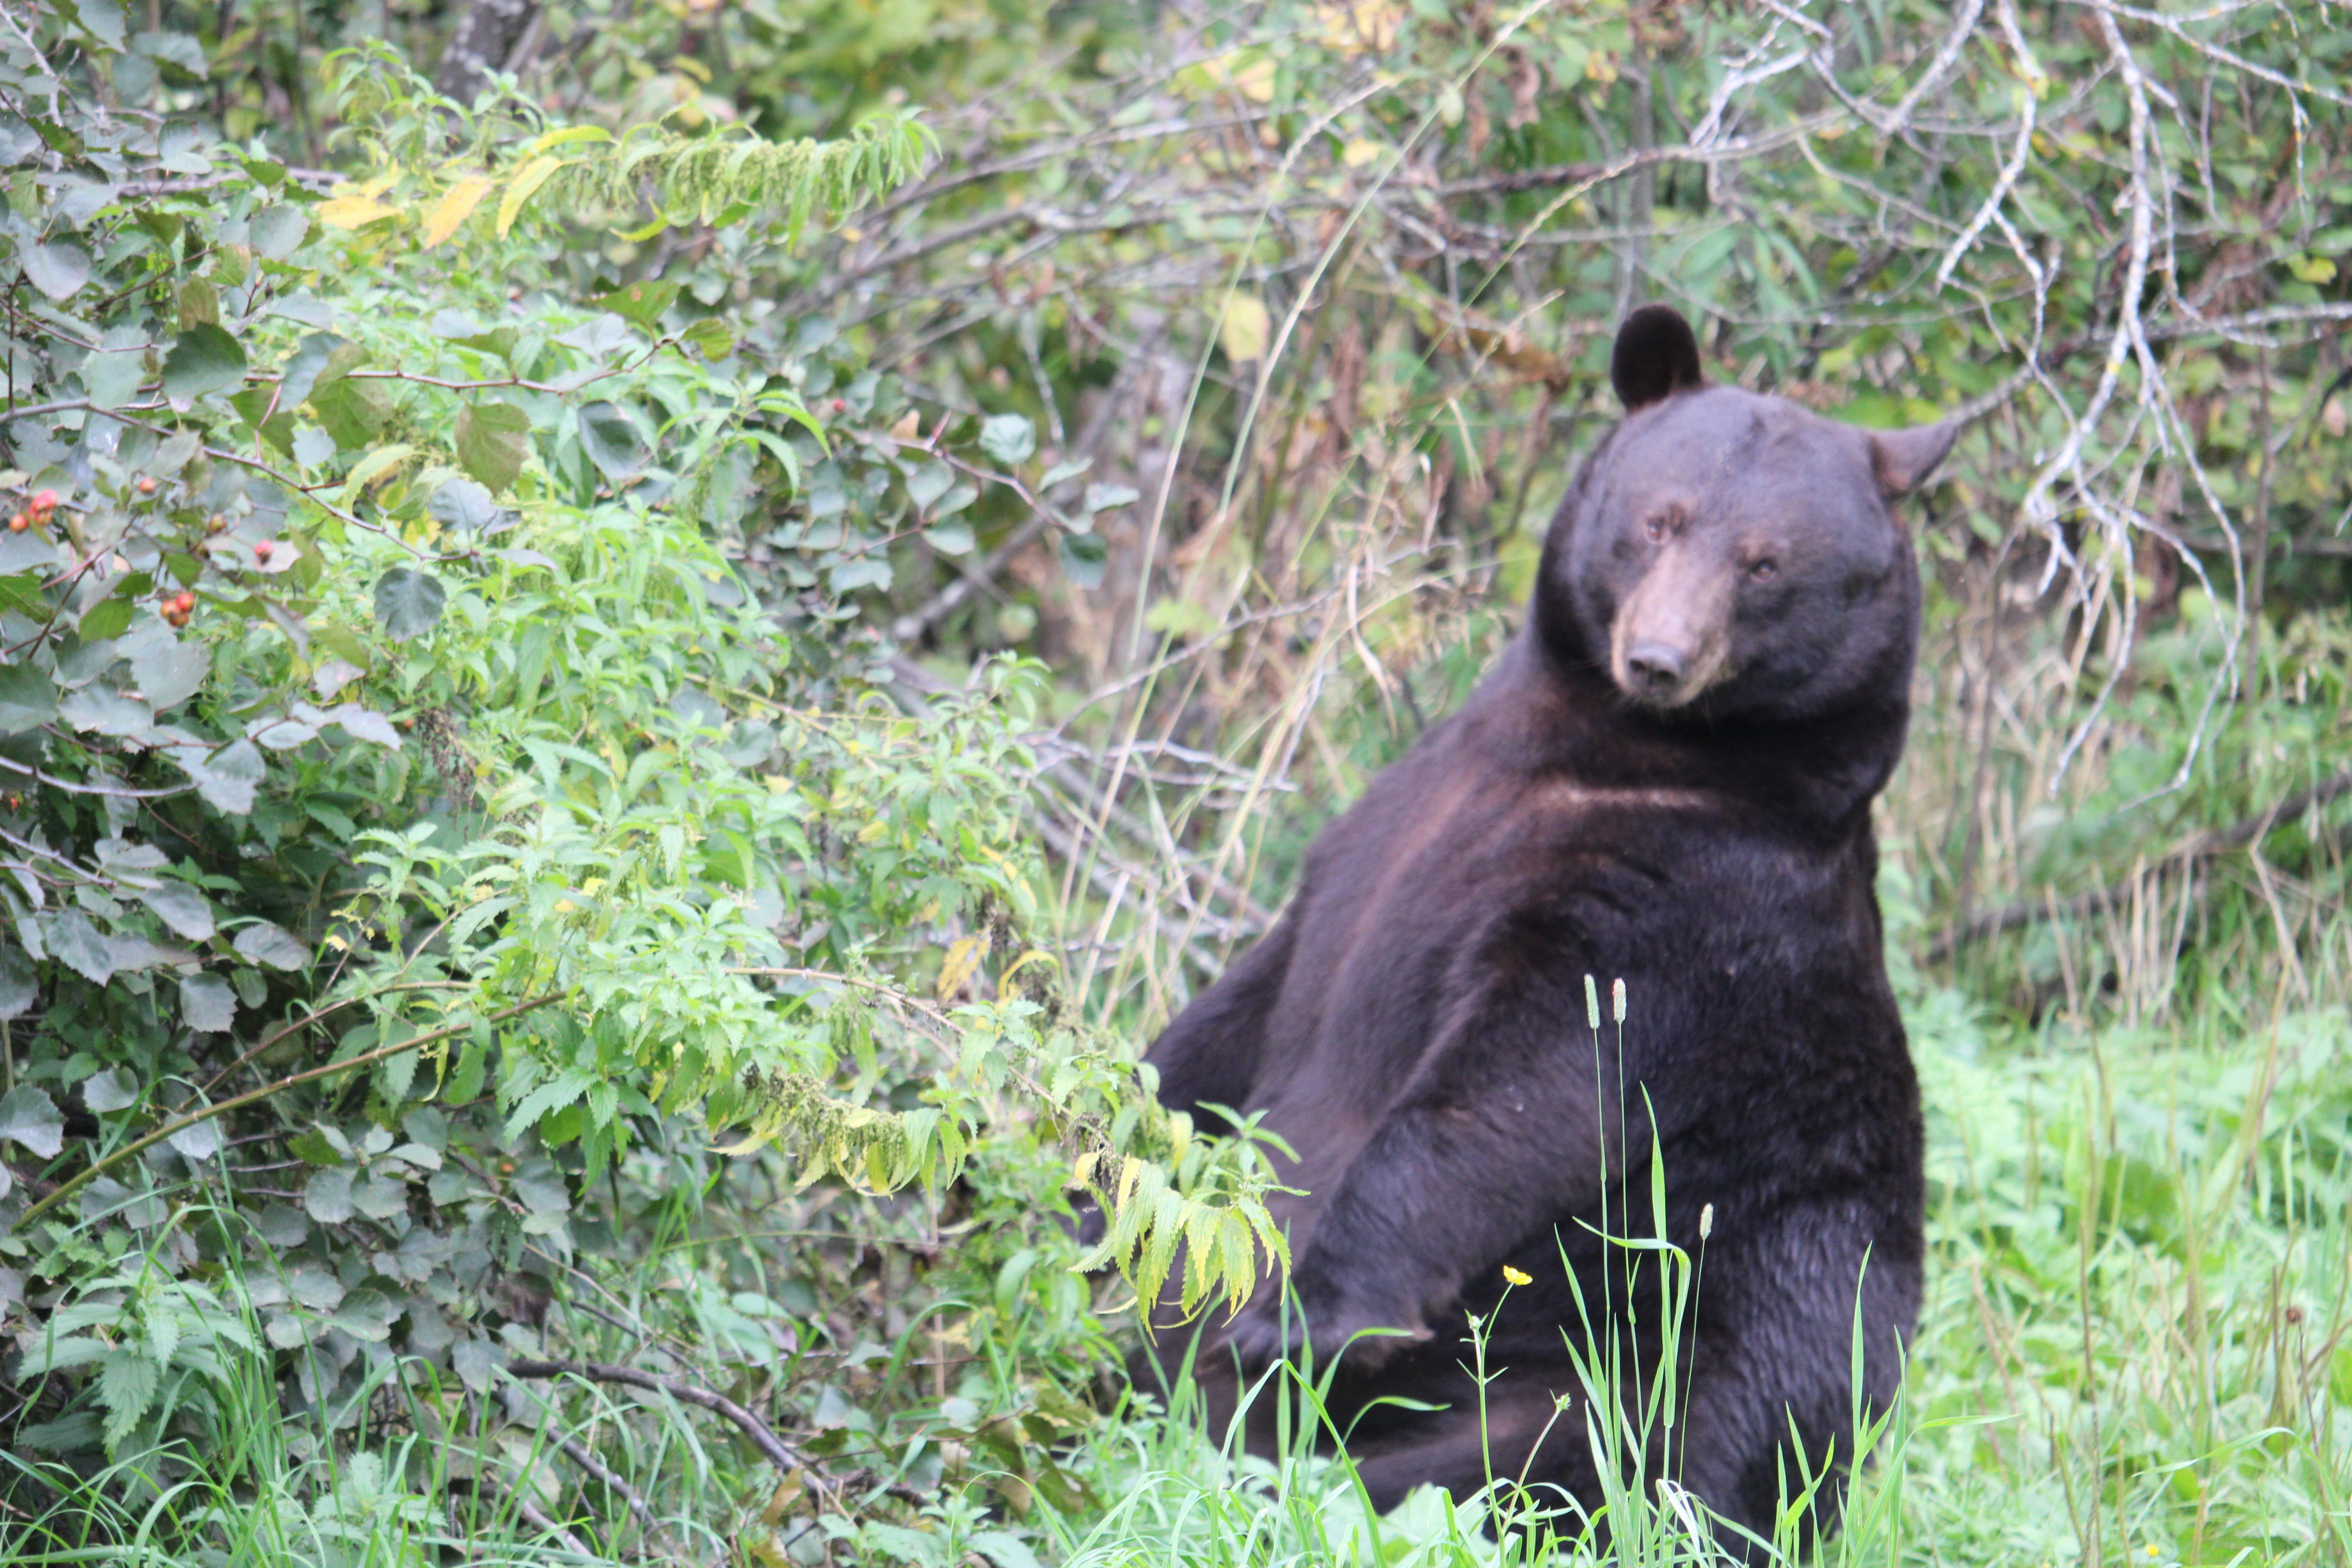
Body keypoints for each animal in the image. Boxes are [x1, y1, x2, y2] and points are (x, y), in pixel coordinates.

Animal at [1131, 303, 1957, 1552]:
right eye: (1661, 519)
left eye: (1767, 564)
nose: (1659, 658)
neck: (1599, 746)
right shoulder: (1380, 836)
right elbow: (1246, 1007)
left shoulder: (1693, 908)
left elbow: (1524, 1086)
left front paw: (1309, 1313)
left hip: (1676, 1349)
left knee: (1600, 1463)